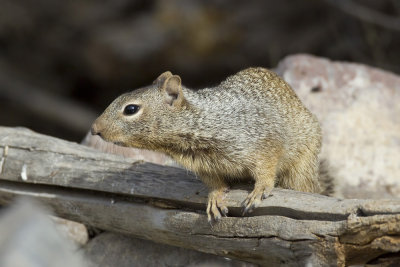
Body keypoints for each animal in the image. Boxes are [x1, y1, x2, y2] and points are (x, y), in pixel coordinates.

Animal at [92, 68, 326, 223]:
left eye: (131, 109)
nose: (94, 129)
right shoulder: (204, 167)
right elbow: (215, 184)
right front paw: (215, 198)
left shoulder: (262, 143)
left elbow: (266, 170)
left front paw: (259, 190)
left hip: (302, 168)